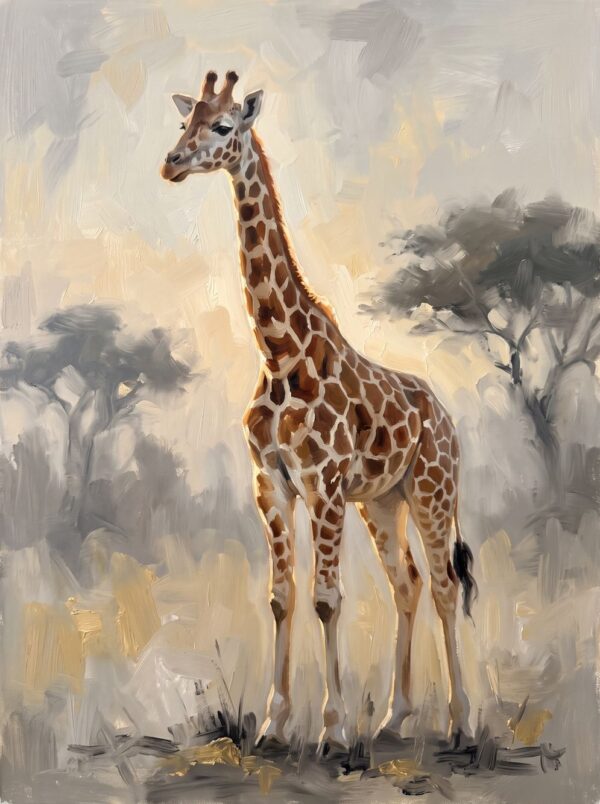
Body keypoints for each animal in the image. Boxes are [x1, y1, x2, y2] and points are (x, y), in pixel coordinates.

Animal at [161, 71, 477, 748]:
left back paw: (461, 723)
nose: (170, 163)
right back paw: (394, 718)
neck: (280, 353)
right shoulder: (273, 485)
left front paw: (332, 730)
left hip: (431, 491)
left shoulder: (324, 485)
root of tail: (446, 418)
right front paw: (274, 724)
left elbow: (327, 598)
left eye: (222, 125)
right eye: (182, 122)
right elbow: (281, 596)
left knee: (444, 585)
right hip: (382, 502)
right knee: (407, 584)